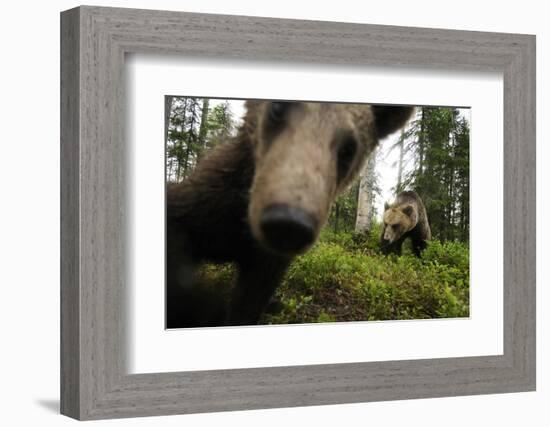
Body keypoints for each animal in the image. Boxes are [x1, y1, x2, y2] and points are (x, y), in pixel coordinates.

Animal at [168, 100, 414, 328]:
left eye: (349, 148)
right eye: (277, 108)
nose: (288, 223)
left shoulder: (266, 263)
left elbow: (249, 303)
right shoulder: (207, 205)